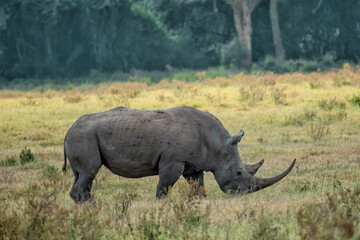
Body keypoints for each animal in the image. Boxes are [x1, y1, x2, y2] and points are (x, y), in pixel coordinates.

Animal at [63, 106, 296, 202]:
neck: (218, 144)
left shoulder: (195, 164)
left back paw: (85, 206)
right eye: (239, 172)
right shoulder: (173, 160)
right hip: (83, 137)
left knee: (81, 175)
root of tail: (67, 131)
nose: (244, 193)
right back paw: (91, 207)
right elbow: (164, 186)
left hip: (81, 137)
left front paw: (200, 202)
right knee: (89, 173)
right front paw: (161, 205)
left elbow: (198, 186)